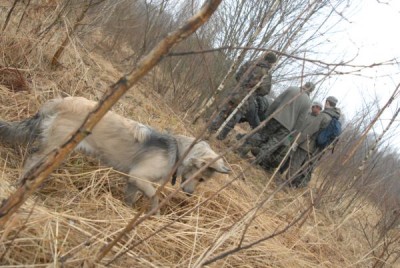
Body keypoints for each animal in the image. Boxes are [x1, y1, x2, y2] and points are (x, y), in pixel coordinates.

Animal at [0, 96, 231, 211]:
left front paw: (128, 212)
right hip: (55, 146)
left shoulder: (133, 181)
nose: (189, 194)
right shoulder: (139, 176)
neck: (178, 151)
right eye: (201, 178)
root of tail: (61, 100)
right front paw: (153, 213)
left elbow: (130, 198)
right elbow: (155, 196)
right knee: (32, 158)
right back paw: (20, 184)